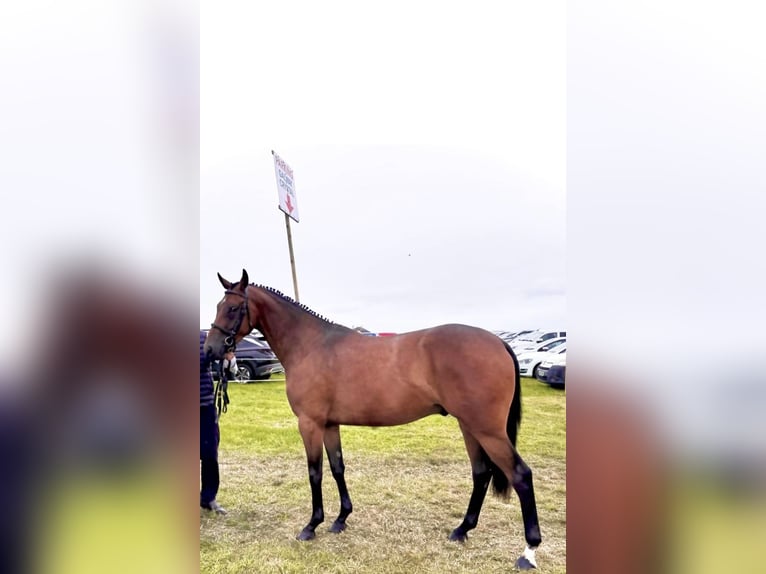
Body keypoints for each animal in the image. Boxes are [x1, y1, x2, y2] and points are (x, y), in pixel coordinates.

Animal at [201, 272, 544, 572]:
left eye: (233, 308)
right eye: (218, 305)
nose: (211, 350)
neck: (311, 345)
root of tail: (498, 343)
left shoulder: (310, 424)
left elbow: (315, 473)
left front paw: (311, 525)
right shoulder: (329, 425)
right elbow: (337, 467)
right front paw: (340, 519)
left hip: (487, 430)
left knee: (520, 475)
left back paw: (528, 551)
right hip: (469, 426)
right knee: (481, 473)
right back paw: (462, 530)